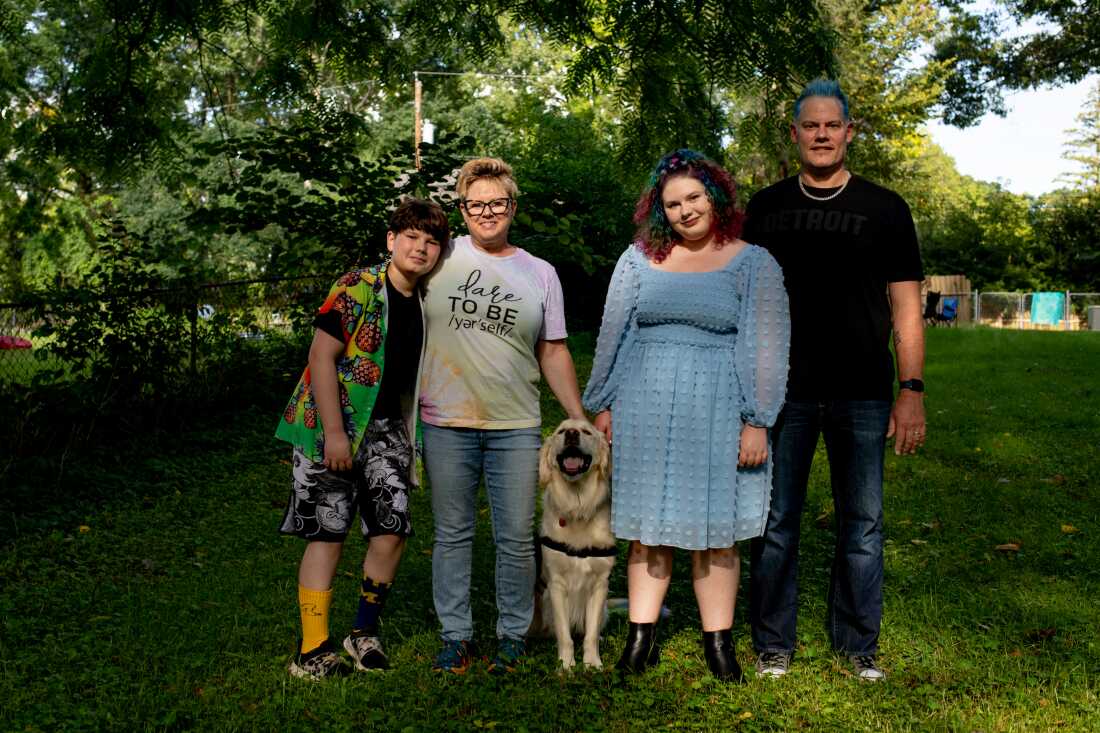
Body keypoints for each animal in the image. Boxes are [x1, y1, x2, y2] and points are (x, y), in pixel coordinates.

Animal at [530, 416, 616, 669]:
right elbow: (564, 634)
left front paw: (592, 663)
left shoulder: (600, 584)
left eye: (586, 432)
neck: (578, 504)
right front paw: (566, 665)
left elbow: (590, 634)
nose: (571, 434)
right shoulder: (557, 585)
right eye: (561, 431)